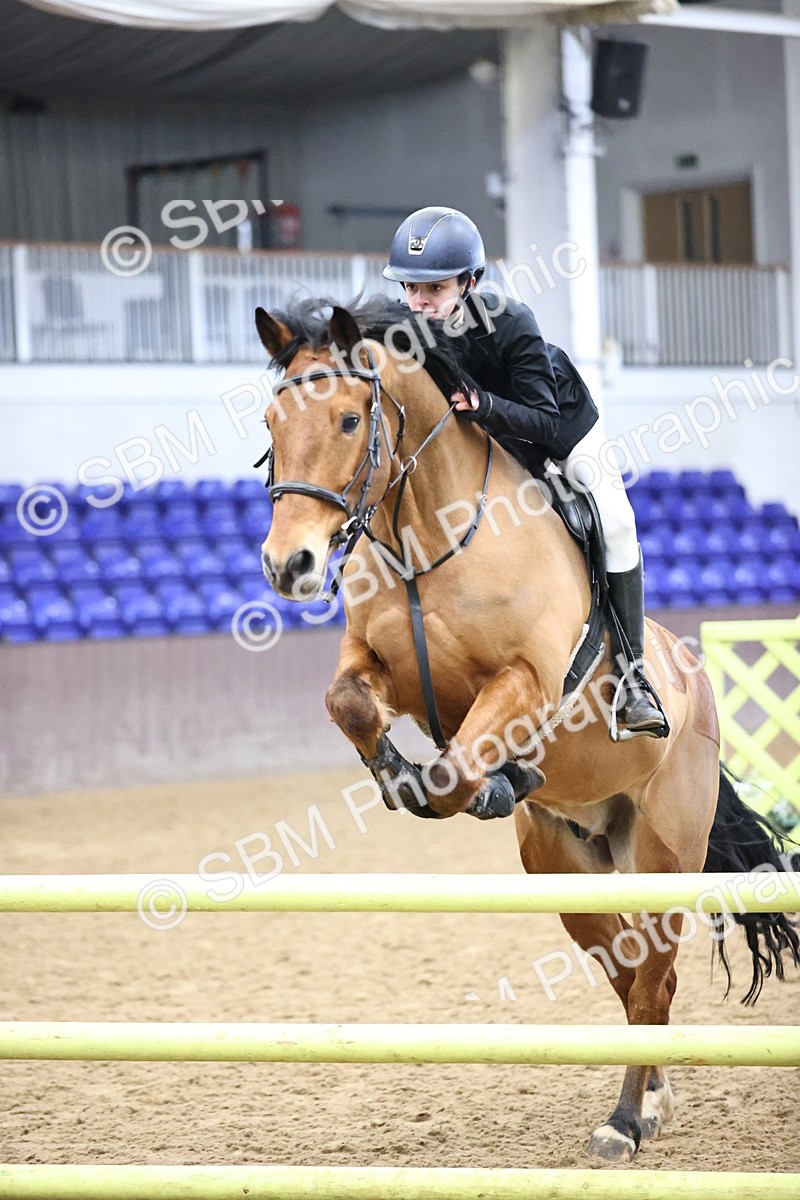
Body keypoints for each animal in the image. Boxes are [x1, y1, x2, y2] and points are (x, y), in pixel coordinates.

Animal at [253, 294, 800, 1163]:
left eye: (347, 419)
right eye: (272, 419)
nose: (290, 566)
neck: (430, 535)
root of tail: (694, 680)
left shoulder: (529, 682)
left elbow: (456, 770)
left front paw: (480, 783)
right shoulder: (375, 668)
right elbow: (349, 704)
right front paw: (399, 775)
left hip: (664, 850)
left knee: (652, 979)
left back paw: (622, 1124)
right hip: (567, 863)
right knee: (632, 974)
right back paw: (651, 1099)